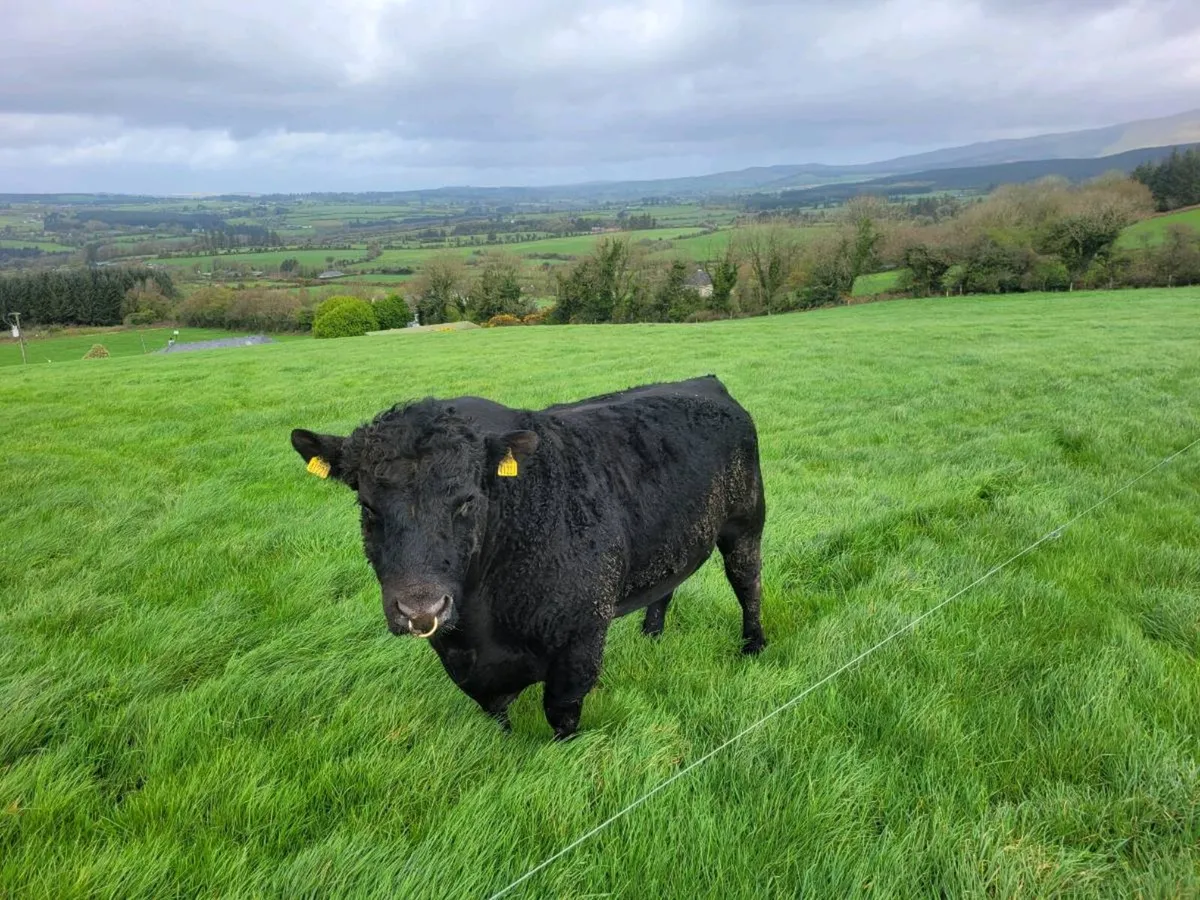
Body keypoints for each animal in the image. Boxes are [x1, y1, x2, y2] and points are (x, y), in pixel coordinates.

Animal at [290, 375, 767, 740]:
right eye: (368, 506)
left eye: (467, 501)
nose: (420, 609)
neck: (483, 622)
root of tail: (705, 381)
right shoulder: (461, 659)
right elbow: (494, 712)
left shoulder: (580, 638)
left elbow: (561, 713)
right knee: (666, 587)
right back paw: (652, 635)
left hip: (745, 523)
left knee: (747, 584)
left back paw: (753, 646)